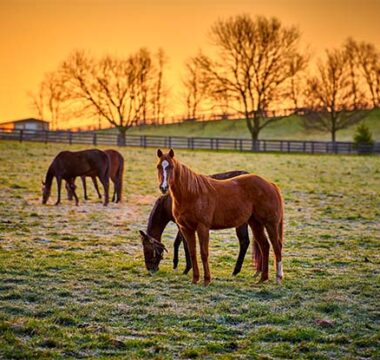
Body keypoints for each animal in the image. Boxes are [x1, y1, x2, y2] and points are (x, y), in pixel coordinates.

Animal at [156, 148, 284, 286]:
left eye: (171, 166)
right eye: (158, 166)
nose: (163, 187)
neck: (192, 193)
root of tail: (270, 184)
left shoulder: (202, 227)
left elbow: (204, 253)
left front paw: (207, 280)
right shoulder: (186, 228)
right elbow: (192, 252)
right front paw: (195, 279)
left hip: (270, 224)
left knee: (276, 246)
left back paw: (278, 278)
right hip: (256, 224)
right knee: (265, 246)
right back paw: (262, 278)